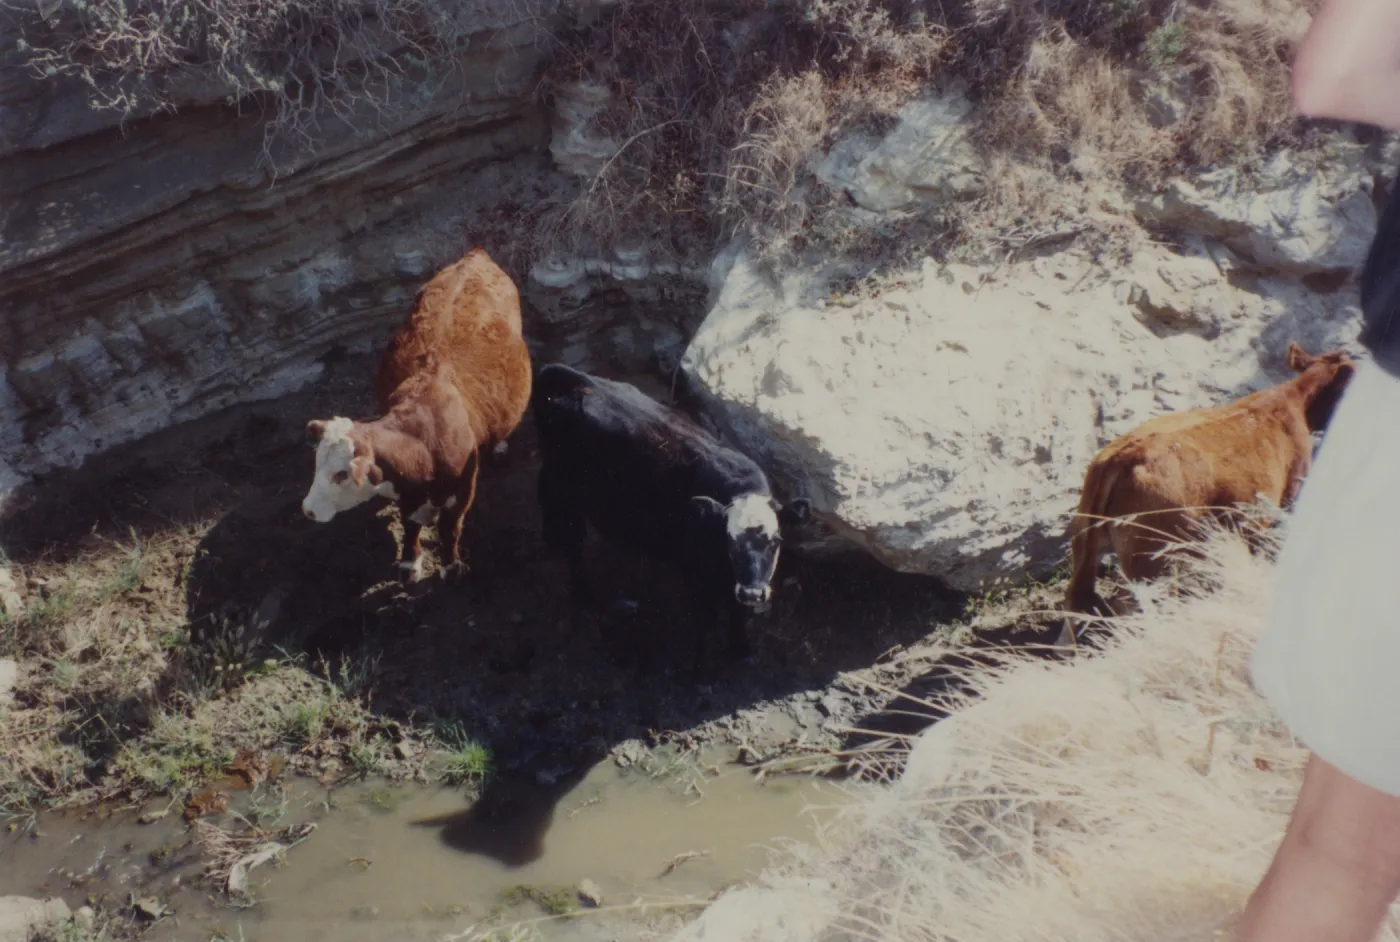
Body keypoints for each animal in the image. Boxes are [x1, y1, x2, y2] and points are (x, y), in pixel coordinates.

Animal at [301, 248, 532, 581]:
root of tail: (475, 256)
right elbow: (410, 525)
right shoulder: (406, 494)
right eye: (318, 463)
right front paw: (410, 563)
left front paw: (450, 564)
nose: (307, 509)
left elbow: (449, 530)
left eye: (341, 474)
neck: (425, 443)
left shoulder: (462, 494)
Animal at [530, 363, 811, 678]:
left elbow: (736, 611)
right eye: (731, 542)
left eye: (775, 542)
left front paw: (741, 649)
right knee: (573, 539)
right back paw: (583, 592)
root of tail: (563, 373)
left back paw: (551, 538)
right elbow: (705, 619)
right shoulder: (693, 568)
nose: (753, 593)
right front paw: (701, 672)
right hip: (567, 488)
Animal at [1057, 342, 1355, 645]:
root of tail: (1123, 455)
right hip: (1152, 557)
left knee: (1075, 602)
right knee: (1129, 606)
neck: (1296, 400)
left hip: (1087, 542)